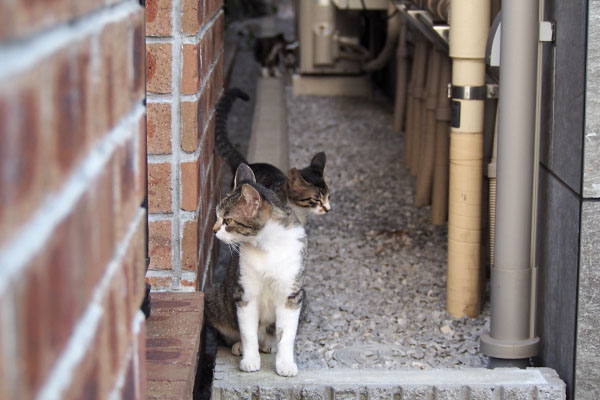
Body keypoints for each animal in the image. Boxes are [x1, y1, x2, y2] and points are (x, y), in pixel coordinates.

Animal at [206, 162, 310, 376]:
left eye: (227, 221)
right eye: (217, 216)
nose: (213, 230)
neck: (266, 247)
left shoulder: (291, 294)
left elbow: (286, 333)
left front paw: (285, 364)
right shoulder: (245, 293)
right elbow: (248, 332)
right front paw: (250, 360)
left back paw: (269, 344)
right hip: (214, 298)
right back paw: (239, 346)